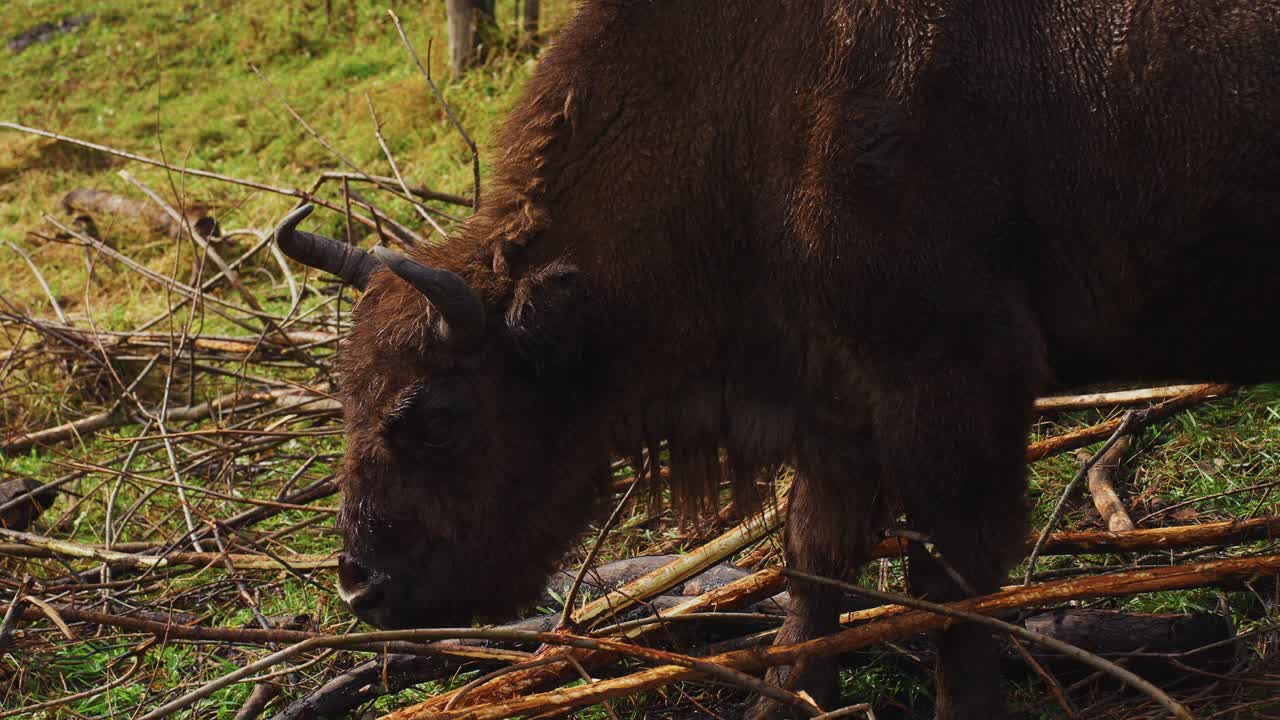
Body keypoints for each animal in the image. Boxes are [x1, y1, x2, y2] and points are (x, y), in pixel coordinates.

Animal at [274, 1, 1280, 718]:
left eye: (436, 417)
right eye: (348, 398)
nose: (360, 586)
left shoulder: (953, 386)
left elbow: (949, 586)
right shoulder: (834, 406)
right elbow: (813, 562)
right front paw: (786, 702)